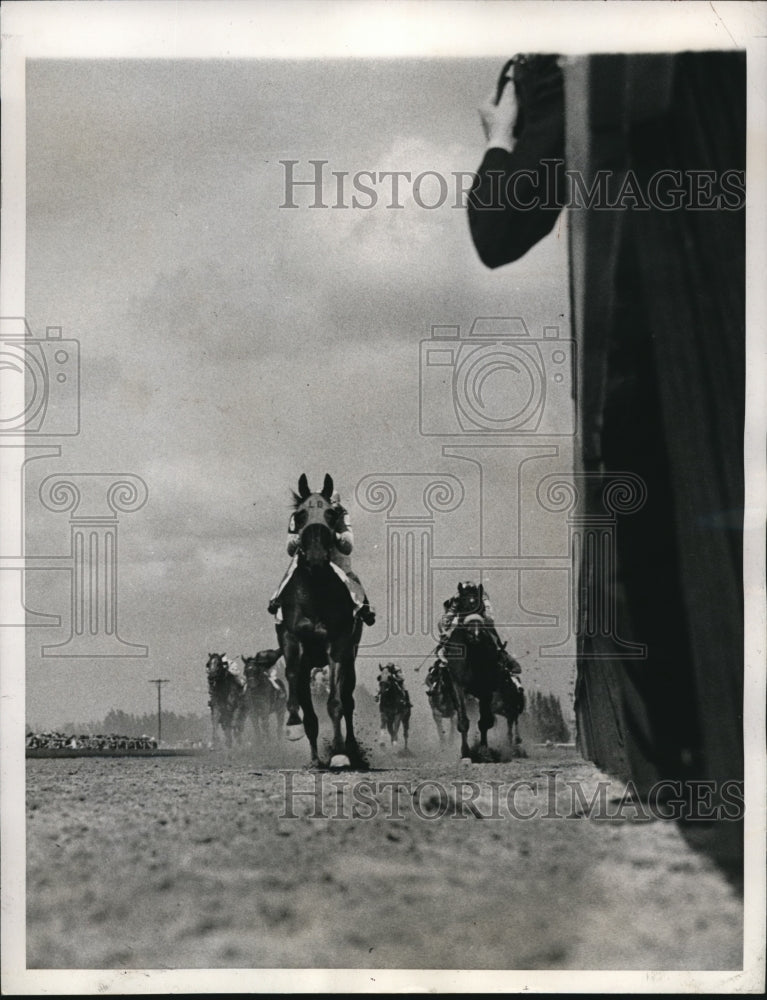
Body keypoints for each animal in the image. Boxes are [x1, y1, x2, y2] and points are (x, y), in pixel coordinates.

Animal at [276, 472, 364, 768]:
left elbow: (336, 702)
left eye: (331, 513)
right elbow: (292, 676)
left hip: (351, 655)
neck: (314, 592)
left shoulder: (337, 644)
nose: (315, 556)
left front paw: (338, 753)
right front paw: (293, 726)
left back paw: (350, 749)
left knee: (348, 699)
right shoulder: (292, 639)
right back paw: (315, 757)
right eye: (300, 514)